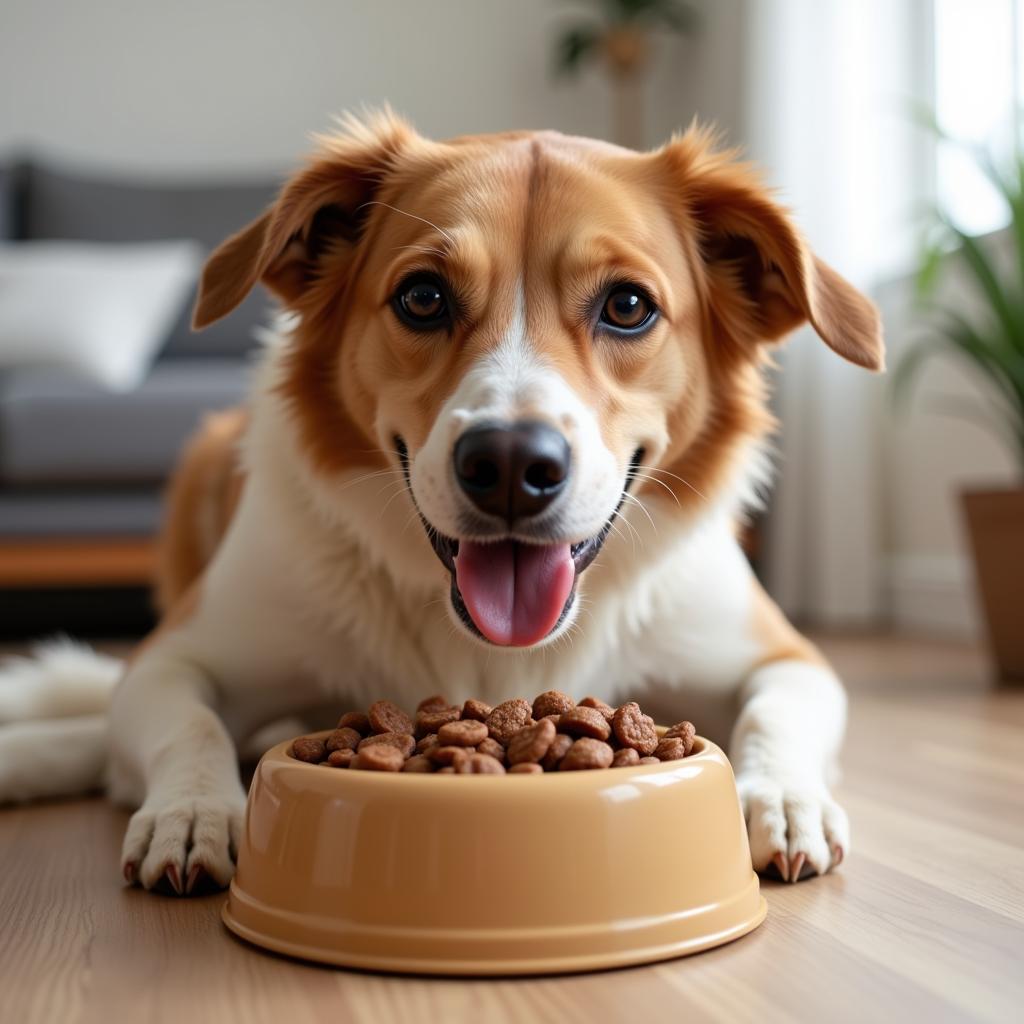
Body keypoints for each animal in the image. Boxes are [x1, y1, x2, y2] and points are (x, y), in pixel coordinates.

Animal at [0, 114, 880, 897]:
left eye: (628, 306)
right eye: (423, 297)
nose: (512, 466)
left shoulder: (784, 657)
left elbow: (775, 715)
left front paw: (784, 800)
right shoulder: (171, 660)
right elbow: (191, 721)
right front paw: (190, 812)